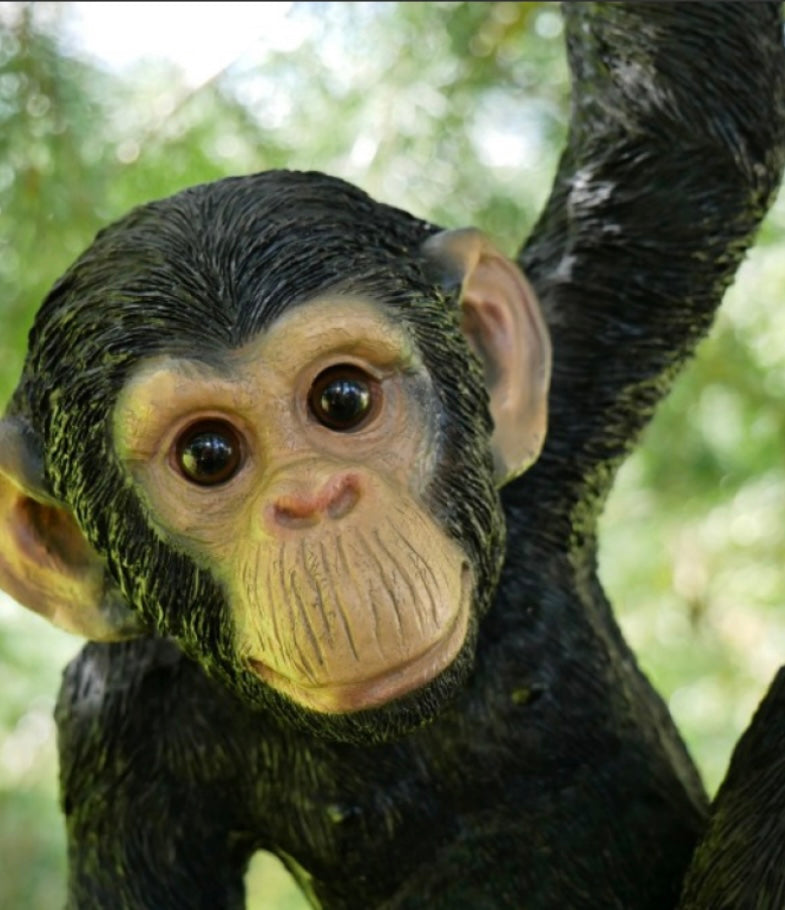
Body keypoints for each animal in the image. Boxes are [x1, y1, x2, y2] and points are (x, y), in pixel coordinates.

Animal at [0, 4, 784, 909]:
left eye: (342, 399)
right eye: (208, 455)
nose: (314, 500)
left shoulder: (568, 395)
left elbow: (678, 131)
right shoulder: (117, 729)